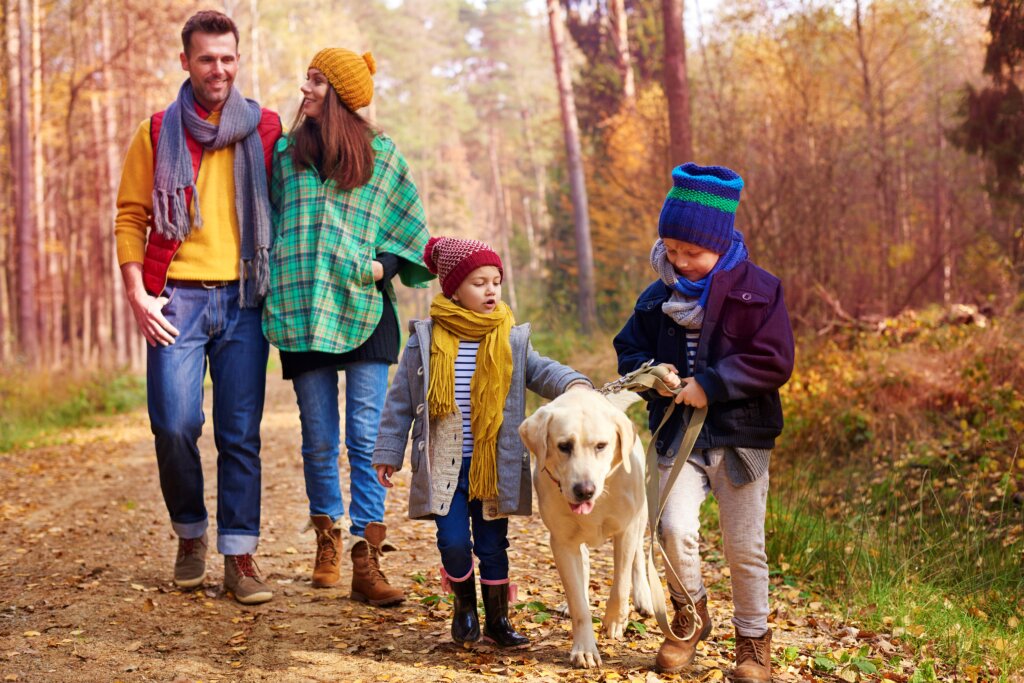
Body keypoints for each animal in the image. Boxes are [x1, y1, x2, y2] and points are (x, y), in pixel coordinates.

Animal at [520, 387, 655, 671]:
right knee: (582, 565)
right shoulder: (561, 542)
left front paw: (615, 620)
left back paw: (643, 599)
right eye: (564, 446)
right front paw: (584, 649)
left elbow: (620, 583)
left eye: (601, 446)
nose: (584, 491)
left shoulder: (626, 530)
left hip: (642, 515)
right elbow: (579, 604)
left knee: (638, 556)